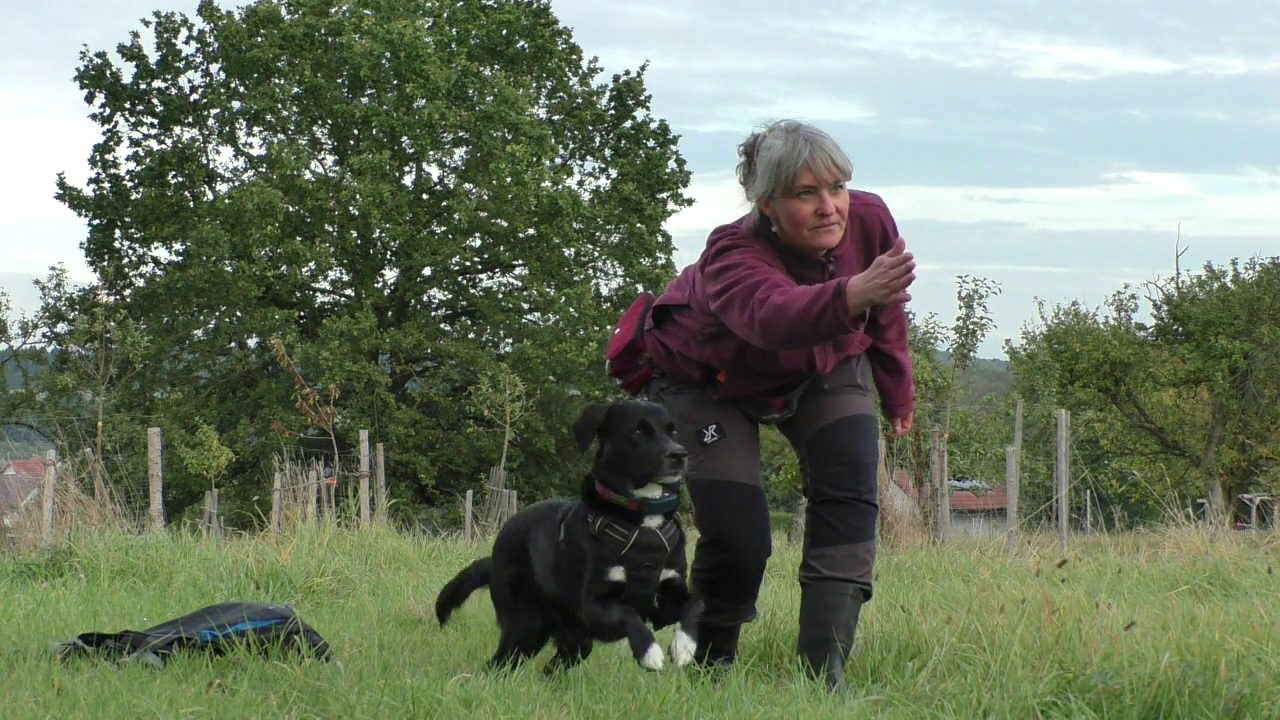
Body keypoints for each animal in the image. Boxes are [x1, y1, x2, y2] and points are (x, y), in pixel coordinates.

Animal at [437, 397, 701, 671]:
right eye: (638, 431)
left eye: (673, 431)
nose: (679, 454)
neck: (643, 522)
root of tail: (493, 559)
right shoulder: (593, 607)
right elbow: (627, 613)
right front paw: (649, 651)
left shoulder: (666, 600)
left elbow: (696, 603)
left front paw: (685, 644)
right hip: (526, 627)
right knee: (499, 664)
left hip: (574, 639)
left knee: (555, 663)